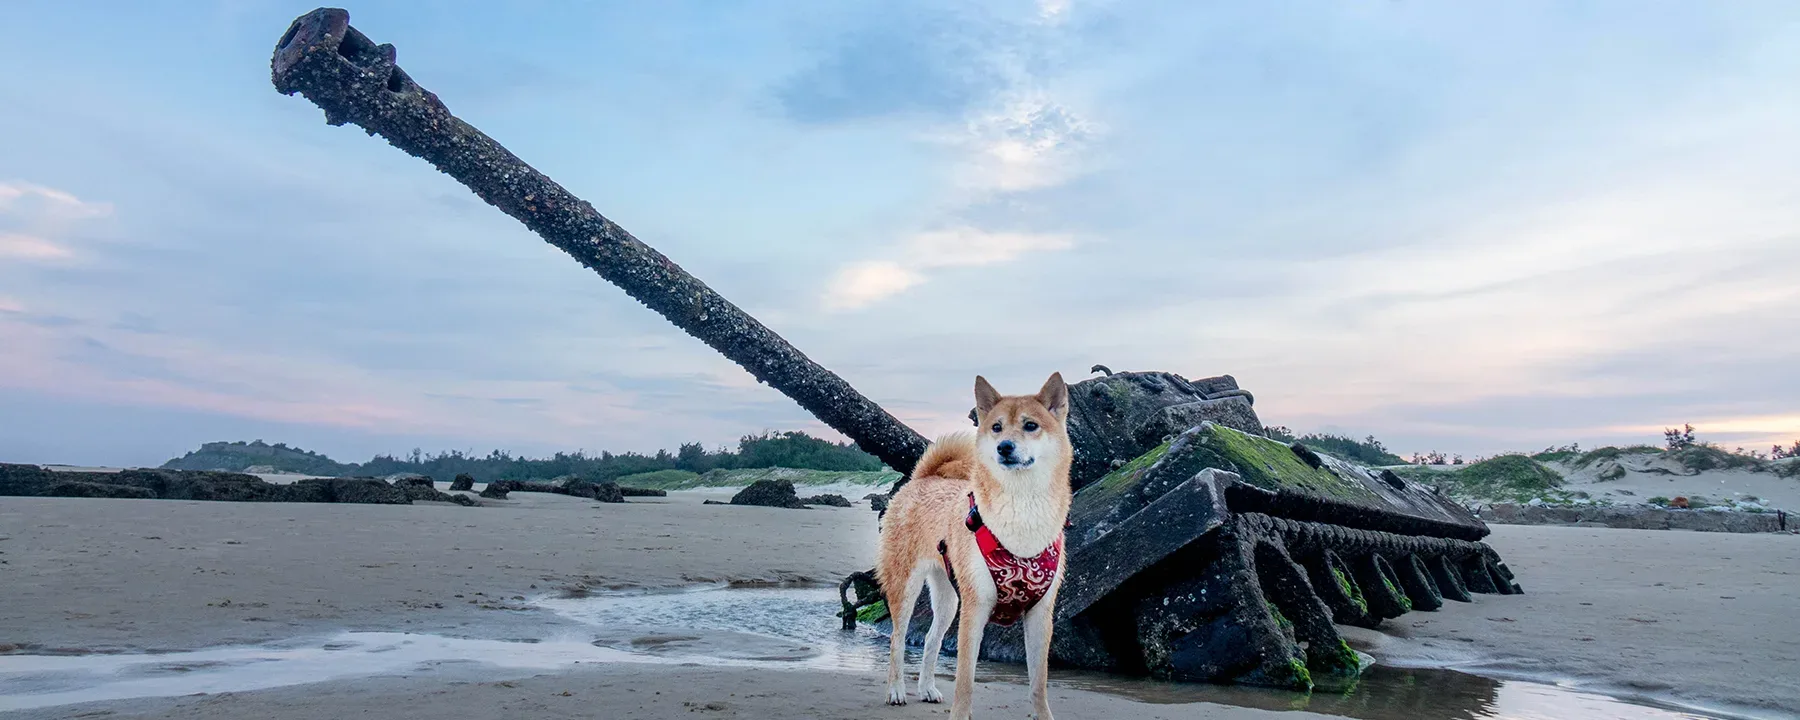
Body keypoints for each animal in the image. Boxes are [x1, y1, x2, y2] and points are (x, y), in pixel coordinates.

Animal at [878, 370, 1072, 720]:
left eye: (1030, 425)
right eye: (996, 427)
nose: (1005, 447)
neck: (1022, 510)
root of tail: (923, 478)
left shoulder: (1040, 614)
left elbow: (1039, 682)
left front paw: (1044, 715)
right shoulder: (976, 607)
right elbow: (965, 680)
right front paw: (960, 714)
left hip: (948, 597)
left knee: (930, 639)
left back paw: (926, 688)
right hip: (906, 586)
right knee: (898, 638)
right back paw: (896, 690)